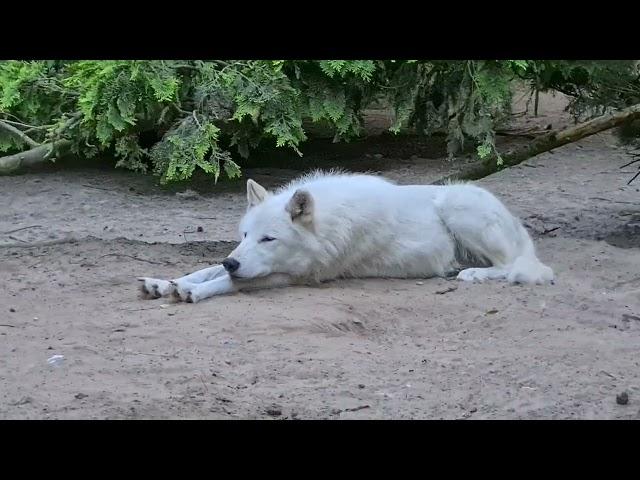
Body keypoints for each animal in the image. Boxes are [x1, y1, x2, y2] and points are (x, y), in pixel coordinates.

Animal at [138, 171, 552, 302]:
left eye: (269, 239)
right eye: (244, 235)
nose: (233, 260)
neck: (326, 225)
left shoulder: (296, 276)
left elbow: (229, 282)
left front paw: (192, 291)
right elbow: (207, 268)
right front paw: (165, 282)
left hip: (458, 203)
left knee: (515, 266)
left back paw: (473, 274)